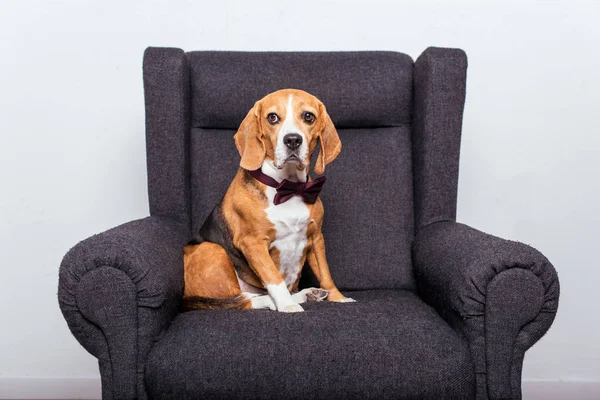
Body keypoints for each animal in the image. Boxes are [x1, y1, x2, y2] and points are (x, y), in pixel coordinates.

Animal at [180, 88, 354, 312]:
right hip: (213, 250)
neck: (288, 187)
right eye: (272, 117)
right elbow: (274, 278)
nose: (292, 140)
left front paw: (338, 298)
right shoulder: (252, 243)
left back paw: (307, 294)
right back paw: (275, 301)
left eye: (308, 116)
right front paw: (287, 306)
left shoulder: (316, 237)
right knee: (242, 300)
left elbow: (325, 273)